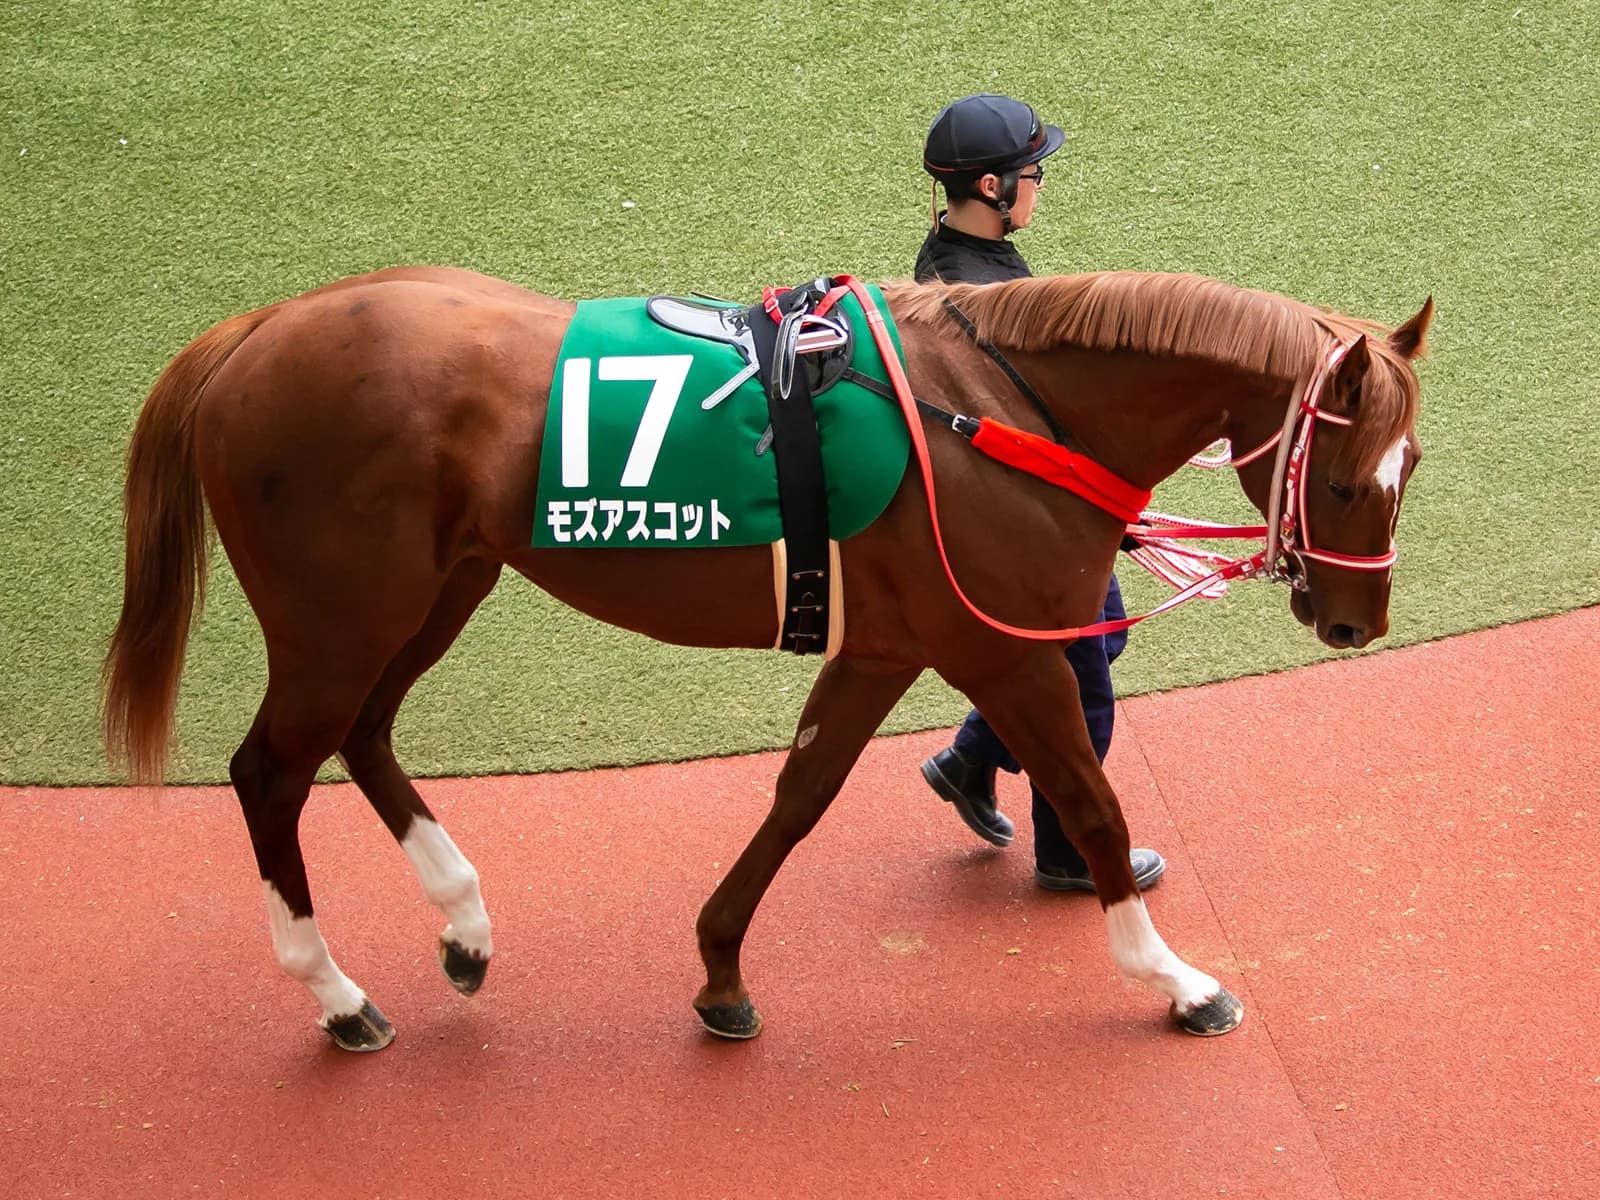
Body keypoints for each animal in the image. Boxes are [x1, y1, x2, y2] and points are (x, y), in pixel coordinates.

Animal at [102, 264, 1431, 1052]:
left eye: (1410, 467)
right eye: (1350, 478)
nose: (1355, 623)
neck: (998, 412)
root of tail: (251, 333)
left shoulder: (885, 645)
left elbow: (800, 793)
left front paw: (719, 970)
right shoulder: (1003, 653)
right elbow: (1093, 801)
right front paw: (1176, 978)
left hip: (440, 587)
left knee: (363, 736)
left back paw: (464, 927)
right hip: (341, 615)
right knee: (272, 770)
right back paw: (337, 996)